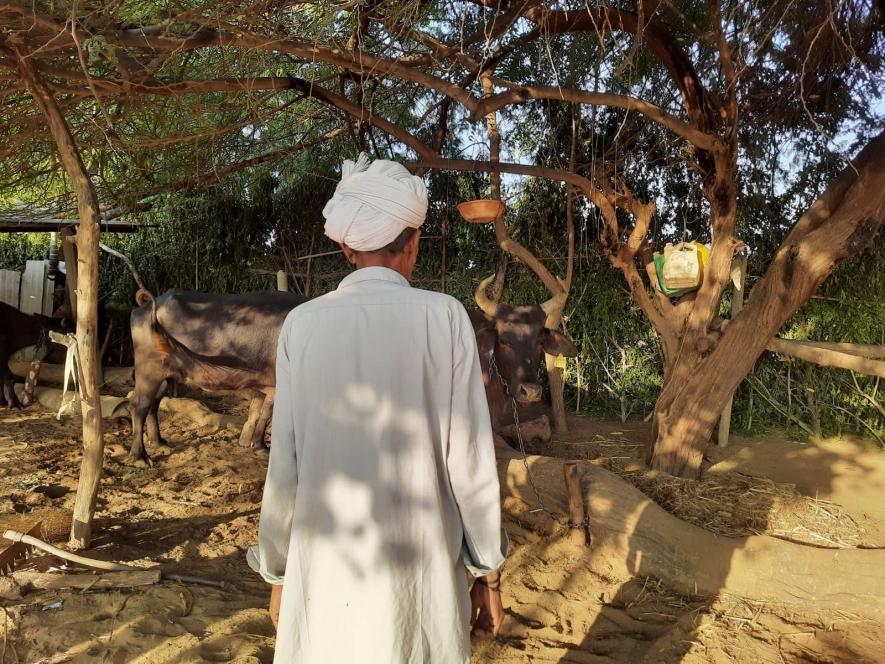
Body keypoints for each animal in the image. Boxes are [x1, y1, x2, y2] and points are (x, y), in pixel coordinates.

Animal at [128, 288, 308, 464]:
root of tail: (148, 307)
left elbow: (262, 412)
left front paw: (256, 445)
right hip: (149, 373)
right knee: (139, 406)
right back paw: (139, 457)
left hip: (165, 377)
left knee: (153, 404)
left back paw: (158, 441)